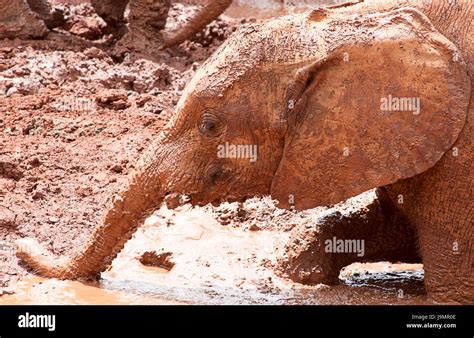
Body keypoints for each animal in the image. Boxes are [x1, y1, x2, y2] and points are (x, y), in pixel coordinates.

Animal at [16, 0, 472, 304]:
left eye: (210, 126)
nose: (22, 243)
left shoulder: (461, 160)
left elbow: (450, 287)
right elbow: (388, 226)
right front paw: (304, 267)